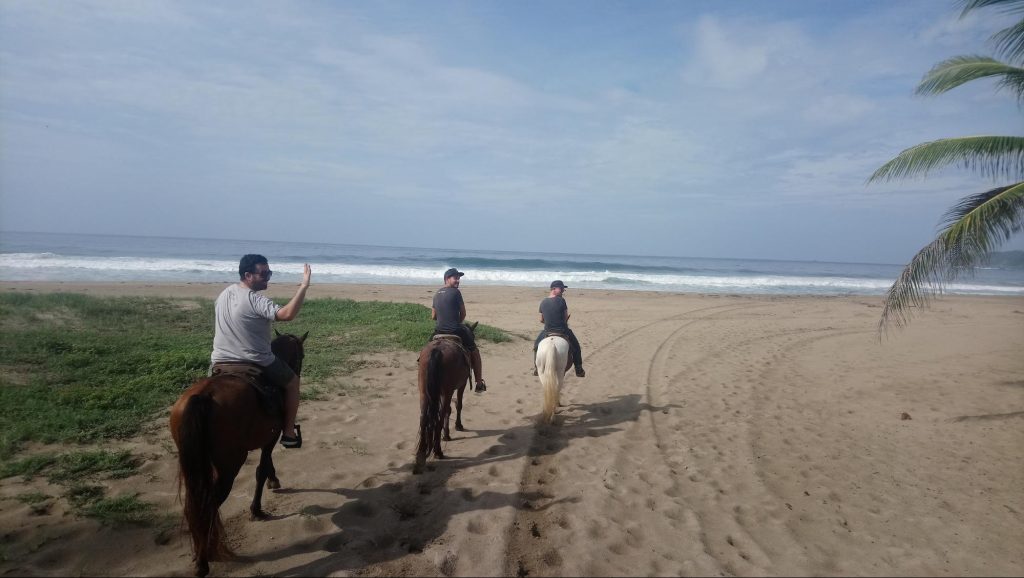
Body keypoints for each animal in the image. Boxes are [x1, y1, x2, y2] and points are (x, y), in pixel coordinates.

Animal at [165, 332, 303, 573]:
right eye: (301, 355)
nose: (298, 372)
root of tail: (203, 397)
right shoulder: (271, 437)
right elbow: (261, 469)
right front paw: (256, 509)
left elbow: (266, 466)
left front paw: (273, 481)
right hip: (230, 465)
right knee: (207, 506)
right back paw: (204, 560)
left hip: (193, 463)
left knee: (193, 507)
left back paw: (201, 552)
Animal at [413, 319, 477, 473]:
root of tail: (437, 351)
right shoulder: (461, 385)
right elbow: (458, 405)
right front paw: (457, 426)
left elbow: (449, 409)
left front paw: (447, 433)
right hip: (447, 391)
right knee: (441, 416)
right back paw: (438, 451)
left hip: (424, 392)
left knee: (423, 418)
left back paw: (421, 455)